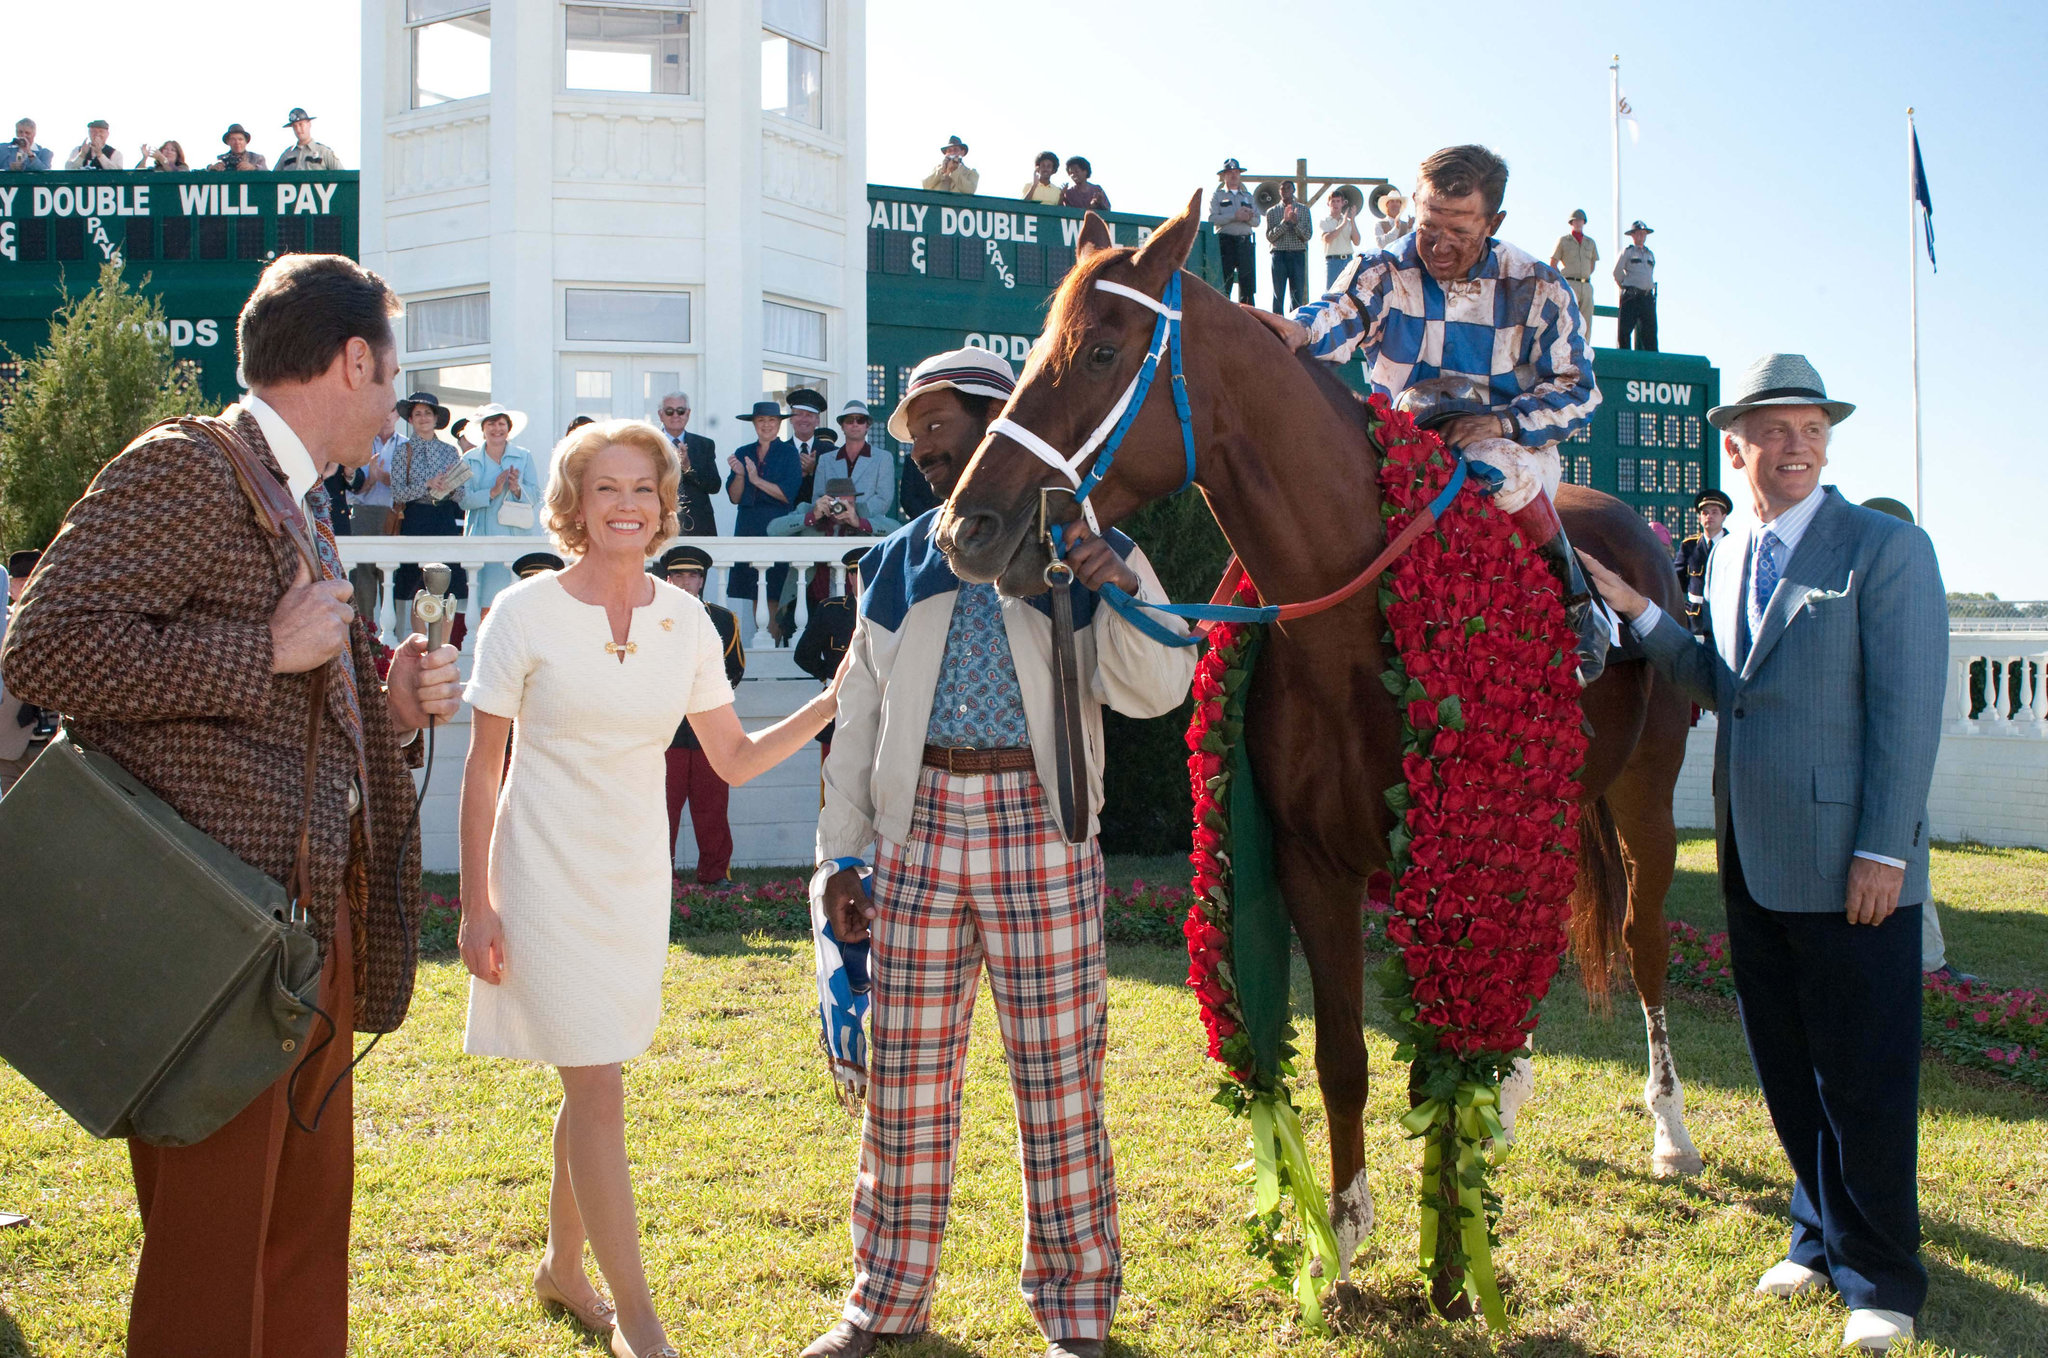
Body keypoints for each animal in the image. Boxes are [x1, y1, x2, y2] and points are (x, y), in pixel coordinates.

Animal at [937, 193, 1703, 1278]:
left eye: (1100, 353)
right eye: (1038, 347)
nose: (965, 528)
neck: (1345, 619)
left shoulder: (1436, 849)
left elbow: (1430, 1053)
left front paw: (1446, 1246)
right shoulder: (1312, 859)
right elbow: (1343, 1054)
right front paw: (1339, 1233)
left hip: (1645, 787)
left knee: (1640, 940)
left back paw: (1669, 1128)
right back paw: (1508, 1091)